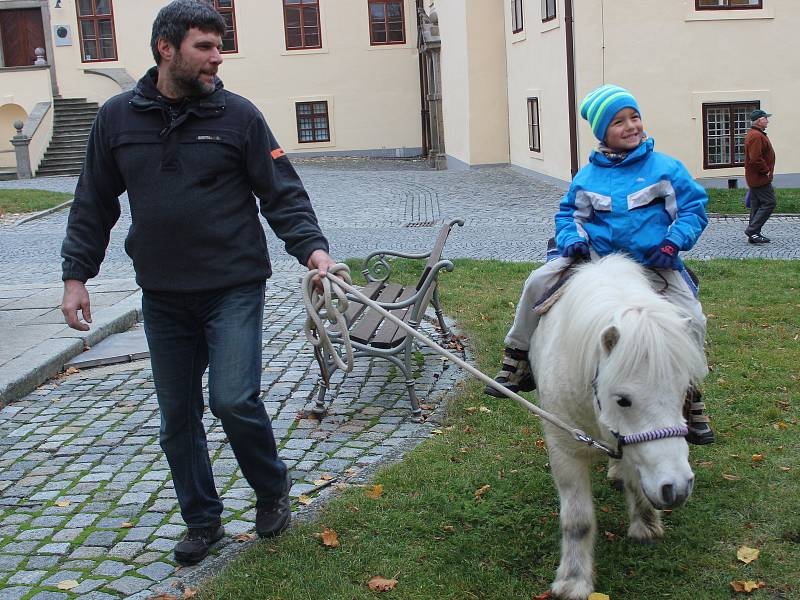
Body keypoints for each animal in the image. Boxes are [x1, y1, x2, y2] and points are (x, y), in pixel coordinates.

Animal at [532, 254, 708, 600]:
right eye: (623, 399)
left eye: (685, 391)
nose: (677, 488)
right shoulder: (564, 448)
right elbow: (577, 520)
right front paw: (573, 581)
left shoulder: (635, 446)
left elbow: (637, 482)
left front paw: (646, 526)